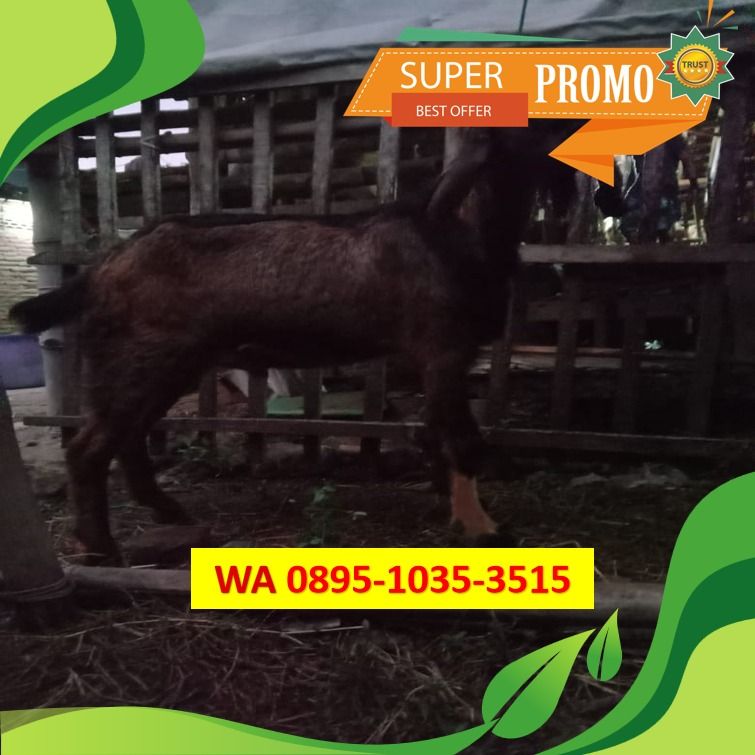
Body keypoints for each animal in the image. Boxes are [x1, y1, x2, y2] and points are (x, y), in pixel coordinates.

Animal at [11, 125, 575, 562]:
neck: (457, 234)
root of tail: (102, 266)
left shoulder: (442, 360)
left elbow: (436, 431)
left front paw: (452, 506)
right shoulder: (442, 350)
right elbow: (464, 441)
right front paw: (485, 531)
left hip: (166, 363)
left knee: (129, 436)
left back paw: (167, 511)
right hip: (140, 358)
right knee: (89, 447)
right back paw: (101, 547)